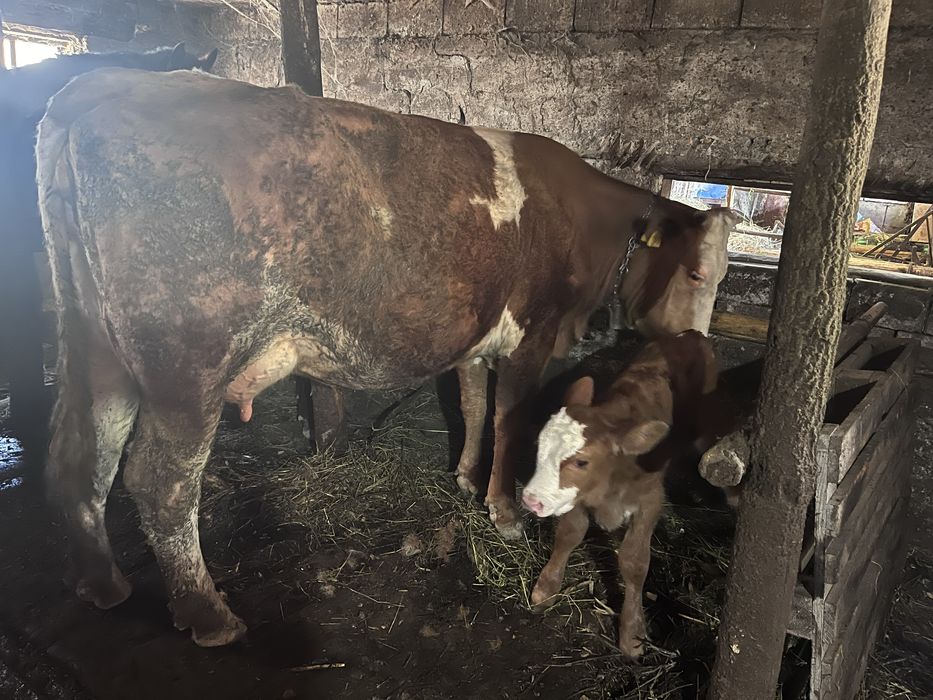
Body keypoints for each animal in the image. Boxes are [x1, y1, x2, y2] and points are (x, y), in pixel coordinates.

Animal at [522, 331, 726, 657]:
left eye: (581, 462)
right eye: (540, 445)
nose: (531, 499)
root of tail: (690, 334)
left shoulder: (650, 501)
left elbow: (633, 561)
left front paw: (633, 633)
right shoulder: (578, 497)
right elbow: (569, 534)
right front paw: (547, 586)